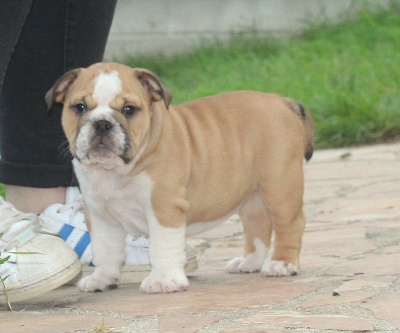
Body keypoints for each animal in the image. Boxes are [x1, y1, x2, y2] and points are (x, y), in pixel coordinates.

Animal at [46, 63, 312, 294]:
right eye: (79, 107)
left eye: (129, 109)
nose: (102, 124)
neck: (115, 172)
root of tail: (282, 101)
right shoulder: (101, 216)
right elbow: (105, 249)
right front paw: (103, 278)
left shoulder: (164, 208)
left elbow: (162, 247)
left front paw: (163, 280)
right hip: (252, 196)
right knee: (258, 224)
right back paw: (249, 262)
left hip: (279, 186)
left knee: (291, 224)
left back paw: (281, 263)